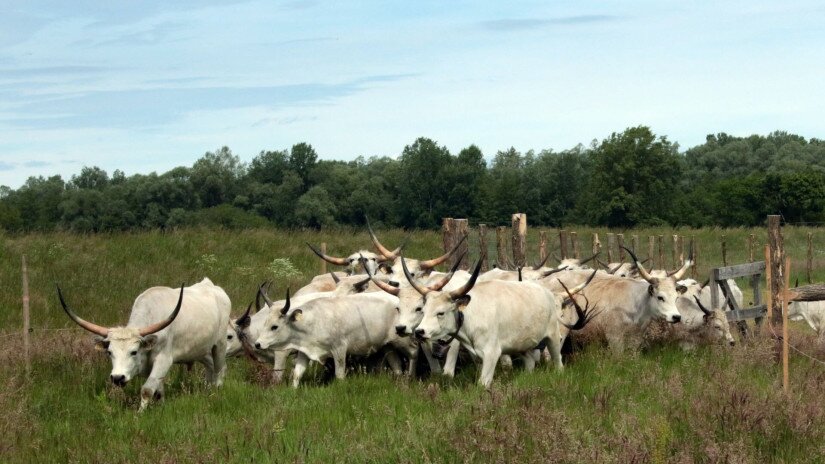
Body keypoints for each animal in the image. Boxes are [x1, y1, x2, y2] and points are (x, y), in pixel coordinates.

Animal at [58, 276, 230, 410]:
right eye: (109, 352)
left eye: (134, 351)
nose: (117, 378)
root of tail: (213, 286)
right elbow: (158, 391)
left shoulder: (163, 360)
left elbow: (147, 389)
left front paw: (139, 414)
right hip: (200, 350)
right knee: (211, 366)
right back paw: (207, 389)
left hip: (220, 344)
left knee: (220, 368)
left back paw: (217, 391)